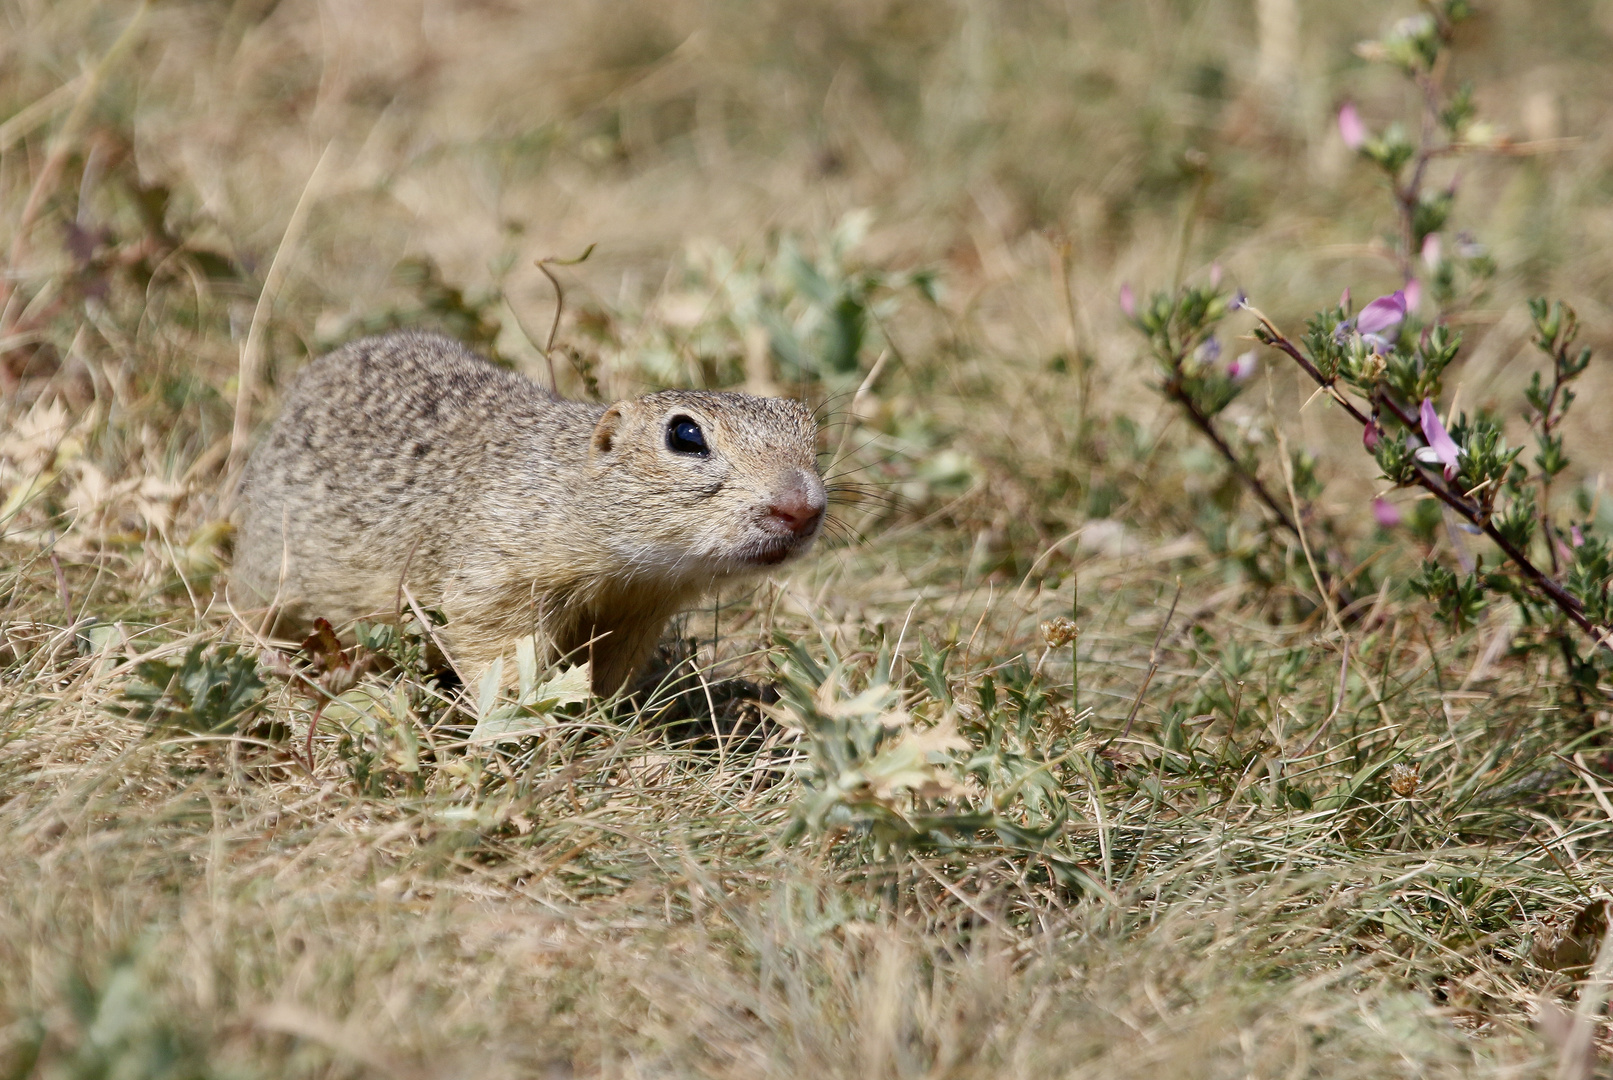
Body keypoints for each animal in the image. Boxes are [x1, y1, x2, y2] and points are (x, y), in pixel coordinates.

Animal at [233, 333, 825, 699]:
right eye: (684, 434)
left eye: (808, 426)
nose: (804, 508)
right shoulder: (499, 576)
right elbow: (496, 653)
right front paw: (523, 715)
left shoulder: (638, 611)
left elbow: (609, 671)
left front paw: (604, 719)